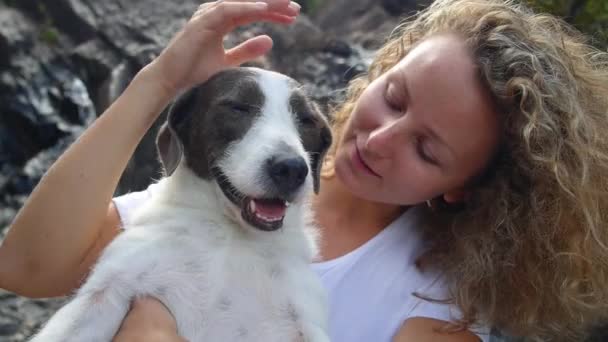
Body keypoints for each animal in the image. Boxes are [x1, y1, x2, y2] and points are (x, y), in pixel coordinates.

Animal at [29, 67, 332, 342]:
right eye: (238, 107)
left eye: (306, 120)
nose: (291, 168)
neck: (230, 237)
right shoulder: (106, 293)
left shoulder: (308, 321)